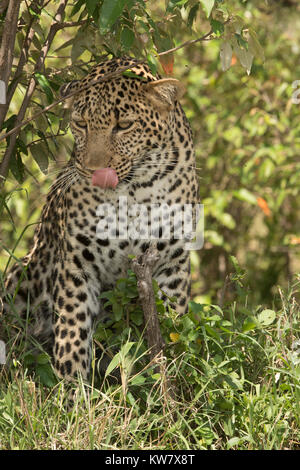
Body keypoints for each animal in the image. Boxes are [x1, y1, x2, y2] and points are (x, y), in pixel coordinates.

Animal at [1, 57, 198, 382]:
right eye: (81, 124)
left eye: (124, 126)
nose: (94, 171)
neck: (133, 194)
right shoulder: (77, 265)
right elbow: (73, 333)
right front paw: (73, 390)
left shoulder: (172, 263)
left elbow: (172, 327)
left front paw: (171, 380)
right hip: (22, 272)